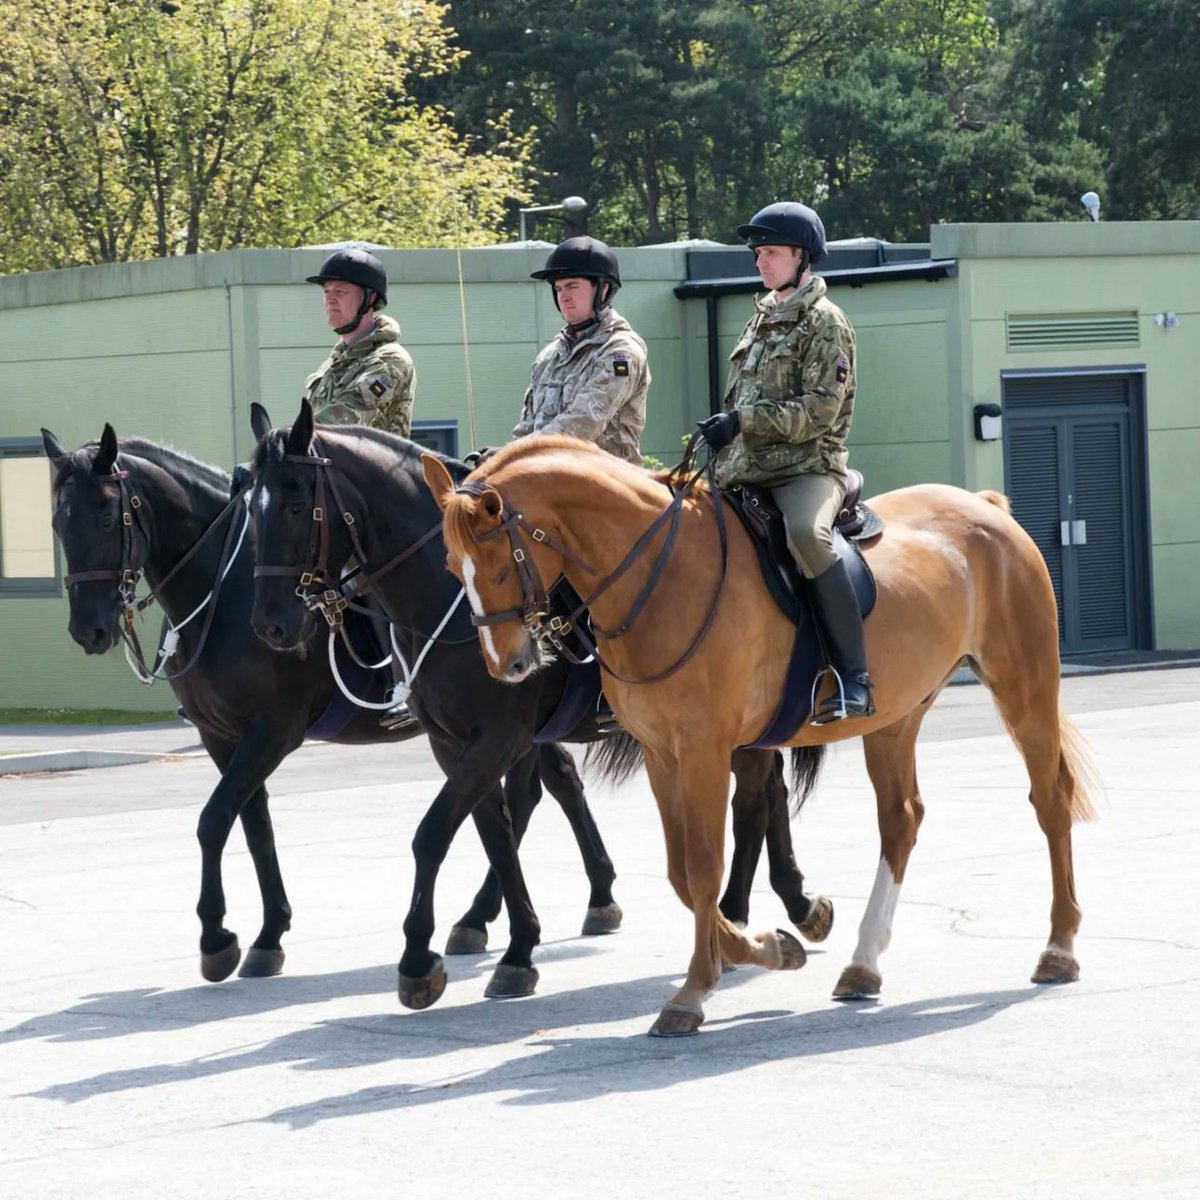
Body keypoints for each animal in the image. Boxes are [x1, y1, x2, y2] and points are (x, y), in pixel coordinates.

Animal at [44, 422, 628, 984]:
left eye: (105, 519)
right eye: (57, 523)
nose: (88, 630)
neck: (221, 592)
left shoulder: (274, 731)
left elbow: (214, 820)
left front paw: (217, 937)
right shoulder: (221, 737)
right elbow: (252, 825)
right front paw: (266, 936)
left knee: (532, 794)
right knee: (550, 787)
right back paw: (562, 903)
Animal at [250, 398, 835, 1008]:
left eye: (296, 504)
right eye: (250, 509)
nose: (271, 623)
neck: (447, 601)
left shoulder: (499, 738)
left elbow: (435, 833)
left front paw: (419, 959)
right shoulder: (452, 742)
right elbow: (495, 833)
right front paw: (513, 945)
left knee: (757, 799)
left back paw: (747, 914)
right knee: (764, 793)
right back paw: (784, 908)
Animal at [422, 436, 1099, 1036]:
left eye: (498, 562)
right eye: (452, 566)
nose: (508, 664)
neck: (660, 574)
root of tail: (987, 507)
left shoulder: (703, 750)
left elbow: (703, 868)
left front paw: (694, 992)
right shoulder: (663, 754)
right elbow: (680, 873)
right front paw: (771, 947)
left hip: (1024, 687)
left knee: (1050, 801)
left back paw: (1060, 948)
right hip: (896, 716)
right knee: (900, 818)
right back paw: (863, 964)